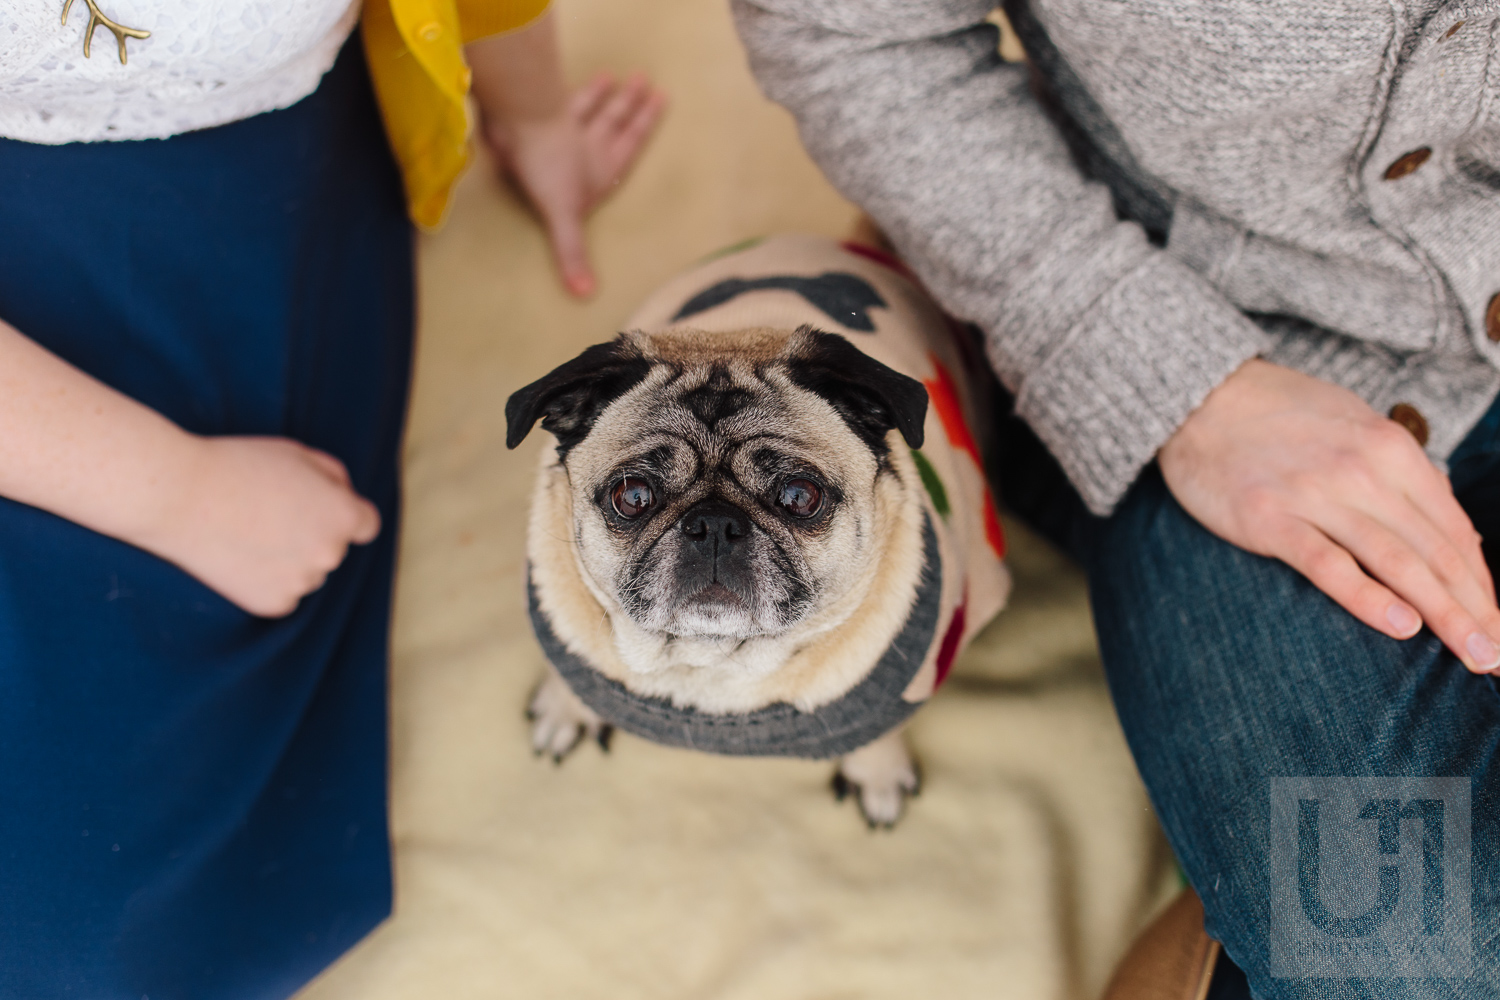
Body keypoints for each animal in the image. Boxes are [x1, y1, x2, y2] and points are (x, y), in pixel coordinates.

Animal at [504, 235, 1008, 827]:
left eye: (799, 497)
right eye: (632, 497)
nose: (715, 525)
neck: (710, 667)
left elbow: (882, 729)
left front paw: (876, 771)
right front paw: (567, 706)